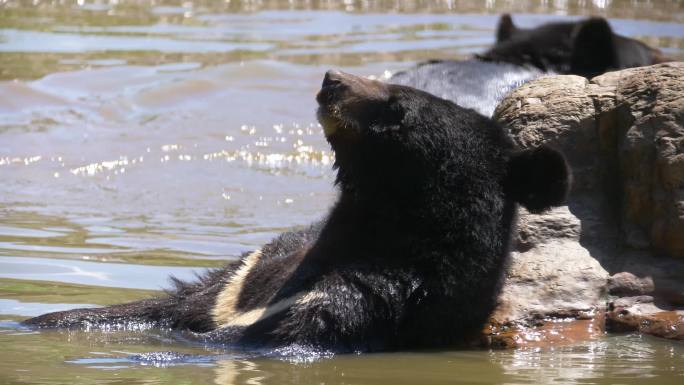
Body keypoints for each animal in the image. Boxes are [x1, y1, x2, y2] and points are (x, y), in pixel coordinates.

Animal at [25, 70, 572, 352]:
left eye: (396, 107)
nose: (332, 79)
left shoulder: (367, 297)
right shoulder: (244, 275)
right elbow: (170, 304)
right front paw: (48, 320)